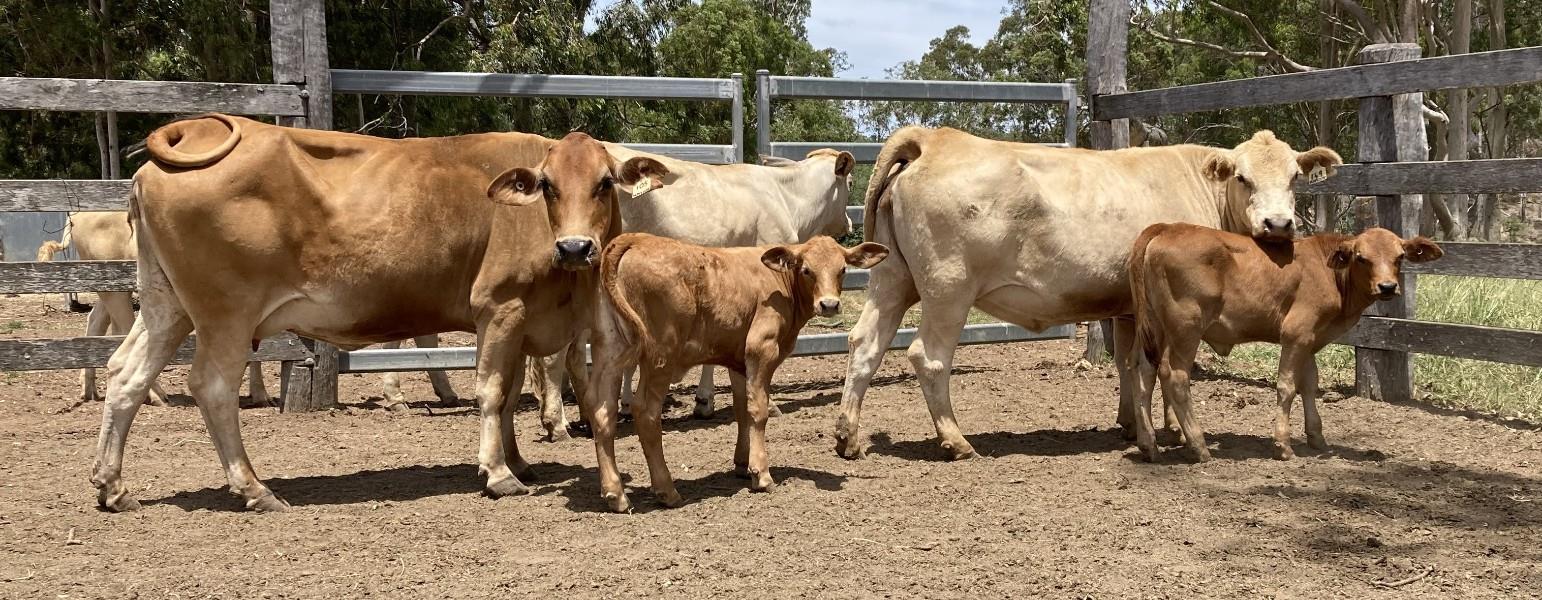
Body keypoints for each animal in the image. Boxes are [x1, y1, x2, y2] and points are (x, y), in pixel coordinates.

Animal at [91, 114, 665, 512]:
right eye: (548, 185)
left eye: (605, 183)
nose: (575, 248)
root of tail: (191, 133)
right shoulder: (500, 307)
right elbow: (492, 392)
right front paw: (500, 474)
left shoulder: (518, 323)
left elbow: (507, 395)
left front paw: (518, 461)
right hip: (225, 314)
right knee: (211, 386)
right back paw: (255, 489)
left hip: (164, 304)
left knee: (125, 374)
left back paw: (112, 485)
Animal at [530, 145, 856, 437]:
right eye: (851, 182)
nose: (850, 222)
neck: (787, 199)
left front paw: (704, 400)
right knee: (555, 356)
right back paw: (557, 423)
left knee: (572, 355)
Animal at [586, 234, 887, 512]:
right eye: (806, 270)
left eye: (843, 269)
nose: (829, 305)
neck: (780, 283)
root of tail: (635, 239)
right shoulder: (761, 350)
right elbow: (759, 410)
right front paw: (761, 474)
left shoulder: (739, 361)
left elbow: (742, 409)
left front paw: (743, 464)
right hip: (660, 357)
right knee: (647, 414)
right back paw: (667, 491)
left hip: (610, 349)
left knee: (603, 412)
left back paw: (615, 494)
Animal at [834, 127, 1343, 460]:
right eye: (1242, 177)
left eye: (1295, 176)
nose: (1278, 224)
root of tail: (934, 138)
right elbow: (1161, 369)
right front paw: (1174, 431)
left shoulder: (1127, 309)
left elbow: (1128, 364)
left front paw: (1132, 423)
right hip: (948, 289)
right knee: (928, 356)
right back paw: (957, 441)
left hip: (891, 278)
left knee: (865, 344)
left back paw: (847, 436)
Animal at [1127, 224, 1442, 462]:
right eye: (1361, 258)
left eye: (1400, 257)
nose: (1387, 287)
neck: (1327, 271)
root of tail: (1168, 228)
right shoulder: (1296, 333)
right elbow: (1287, 386)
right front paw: (1283, 445)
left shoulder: (1310, 338)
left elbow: (1309, 384)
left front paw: (1317, 438)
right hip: (1186, 329)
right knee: (1175, 377)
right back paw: (1199, 446)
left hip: (1154, 328)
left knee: (1143, 373)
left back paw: (1149, 445)